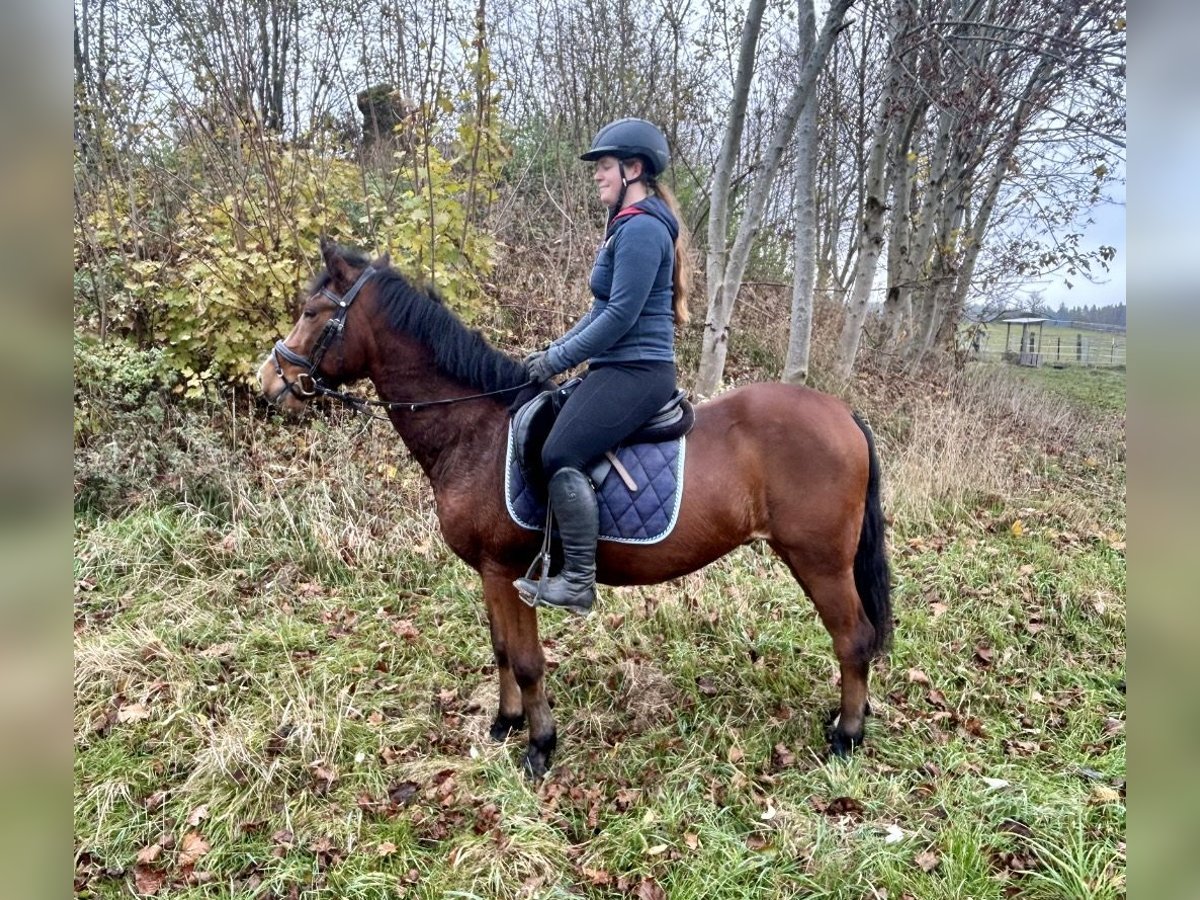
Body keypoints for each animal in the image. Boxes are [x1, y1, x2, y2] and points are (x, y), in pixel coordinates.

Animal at [260, 240, 892, 782]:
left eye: (312, 312)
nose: (269, 380)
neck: (476, 430)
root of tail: (844, 413)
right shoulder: (490, 575)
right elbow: (502, 651)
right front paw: (505, 724)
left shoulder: (505, 570)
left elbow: (528, 660)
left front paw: (539, 746)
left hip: (819, 560)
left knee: (854, 638)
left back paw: (846, 736)